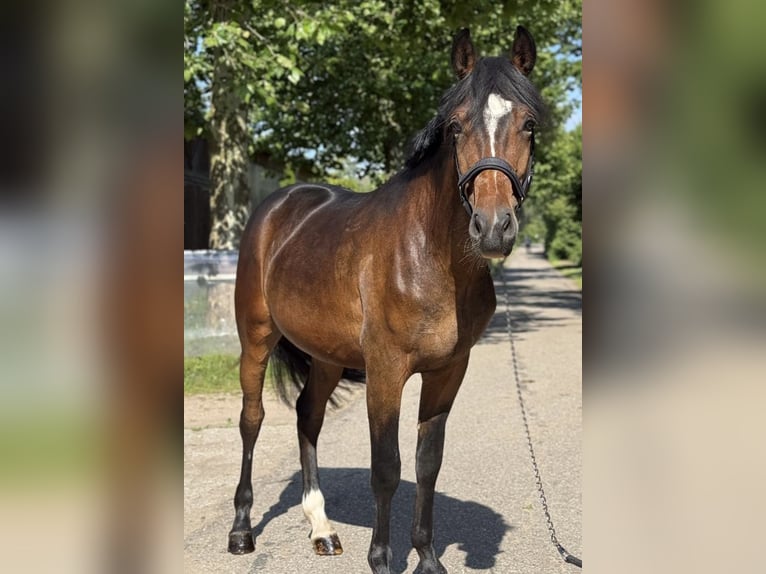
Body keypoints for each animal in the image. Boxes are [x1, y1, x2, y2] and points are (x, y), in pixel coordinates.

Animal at [228, 26, 544, 574]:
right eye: (455, 127)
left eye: (528, 125)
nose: (493, 227)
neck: (429, 256)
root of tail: (278, 206)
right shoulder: (386, 370)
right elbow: (387, 468)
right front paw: (381, 558)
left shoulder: (447, 372)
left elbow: (427, 463)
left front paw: (428, 558)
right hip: (257, 339)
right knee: (253, 420)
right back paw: (242, 530)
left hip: (326, 355)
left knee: (308, 416)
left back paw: (321, 528)